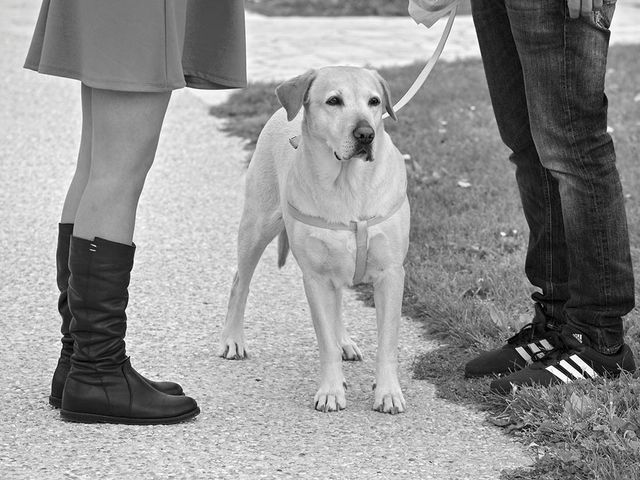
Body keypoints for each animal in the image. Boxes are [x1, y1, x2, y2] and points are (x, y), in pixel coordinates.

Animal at [219, 65, 410, 414]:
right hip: (257, 226)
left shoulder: (391, 274)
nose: (366, 134)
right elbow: (325, 342)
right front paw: (332, 390)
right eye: (334, 101)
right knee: (241, 281)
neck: (347, 182)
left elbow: (387, 342)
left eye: (374, 101)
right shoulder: (315, 278)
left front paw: (388, 392)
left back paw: (345, 341)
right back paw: (232, 339)